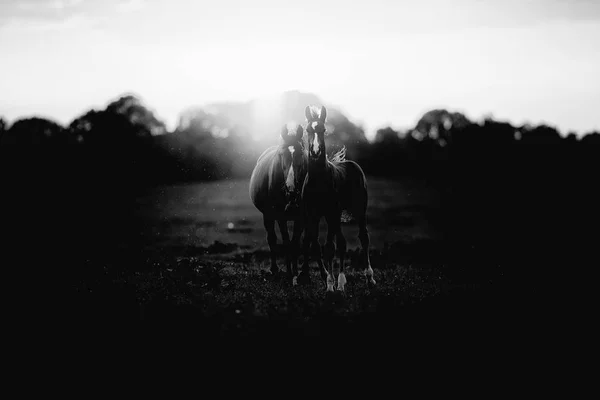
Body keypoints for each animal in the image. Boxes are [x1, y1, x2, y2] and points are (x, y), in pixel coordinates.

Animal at [248, 123, 308, 282]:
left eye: (301, 154)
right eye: (282, 154)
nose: (290, 187)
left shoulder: (301, 217)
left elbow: (296, 243)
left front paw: (298, 273)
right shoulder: (281, 216)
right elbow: (286, 242)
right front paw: (289, 273)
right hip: (267, 215)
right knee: (272, 239)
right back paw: (274, 269)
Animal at [300, 105, 376, 294]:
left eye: (323, 130)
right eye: (308, 130)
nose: (315, 151)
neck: (319, 181)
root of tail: (352, 164)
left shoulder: (331, 212)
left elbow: (330, 247)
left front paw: (332, 285)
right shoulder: (313, 215)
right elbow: (315, 244)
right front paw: (328, 283)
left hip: (358, 209)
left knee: (363, 237)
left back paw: (369, 278)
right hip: (335, 216)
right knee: (340, 242)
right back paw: (341, 281)